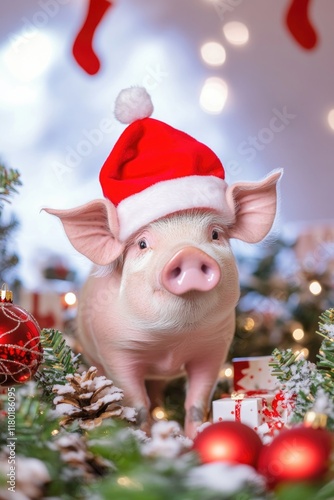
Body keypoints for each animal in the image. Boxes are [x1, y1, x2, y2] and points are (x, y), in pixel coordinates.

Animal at [44, 169, 282, 438]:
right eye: (142, 244)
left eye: (215, 234)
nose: (188, 253)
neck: (171, 343)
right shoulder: (116, 351)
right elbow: (137, 402)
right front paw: (144, 437)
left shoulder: (214, 347)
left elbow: (197, 400)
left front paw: (193, 436)